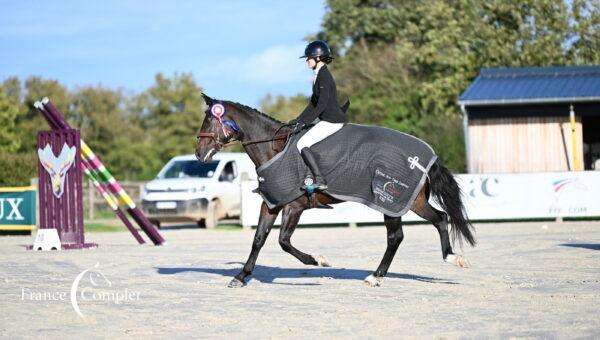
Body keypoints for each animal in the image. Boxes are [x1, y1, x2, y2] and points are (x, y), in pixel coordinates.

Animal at [195, 94, 476, 288]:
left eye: (209, 119)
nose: (198, 154)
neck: (274, 148)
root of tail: (425, 158)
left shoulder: (295, 206)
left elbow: (283, 241)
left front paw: (318, 260)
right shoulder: (273, 203)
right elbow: (259, 239)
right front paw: (241, 276)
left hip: (391, 201)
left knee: (396, 236)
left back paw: (376, 276)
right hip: (414, 201)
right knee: (439, 218)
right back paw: (452, 258)